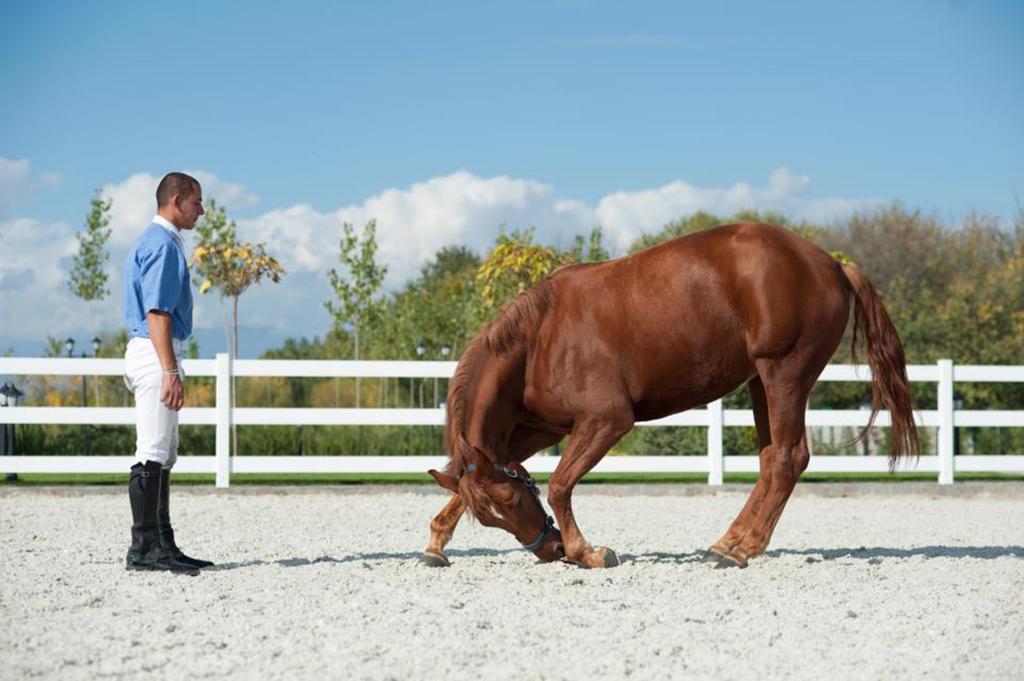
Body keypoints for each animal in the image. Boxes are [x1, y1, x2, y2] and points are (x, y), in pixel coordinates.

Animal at [419, 222, 917, 569]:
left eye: (514, 503)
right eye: (489, 518)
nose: (551, 549)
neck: (539, 339)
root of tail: (830, 263)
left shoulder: (605, 420)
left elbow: (561, 483)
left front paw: (588, 552)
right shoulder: (545, 428)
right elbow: (469, 474)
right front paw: (436, 542)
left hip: (785, 375)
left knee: (788, 459)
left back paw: (741, 550)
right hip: (761, 382)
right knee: (771, 459)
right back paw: (729, 542)